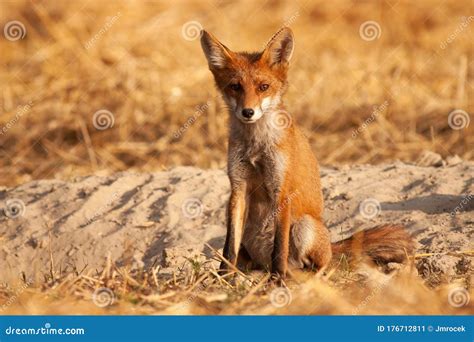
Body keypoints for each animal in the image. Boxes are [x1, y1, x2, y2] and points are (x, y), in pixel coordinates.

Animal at [200, 27, 412, 278]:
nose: (248, 112)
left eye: (263, 87)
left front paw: (277, 280)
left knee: (319, 265)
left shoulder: (282, 189)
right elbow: (228, 246)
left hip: (305, 226)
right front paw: (222, 277)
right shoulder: (238, 188)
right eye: (235, 87)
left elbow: (279, 248)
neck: (256, 146)